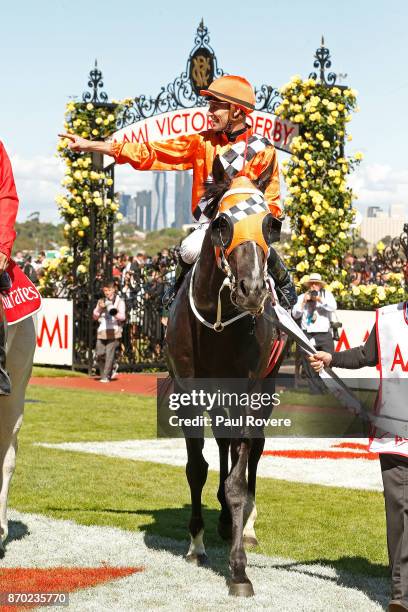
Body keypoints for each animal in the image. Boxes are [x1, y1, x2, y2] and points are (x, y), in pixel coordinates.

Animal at [164, 164, 286, 596]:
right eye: (221, 222)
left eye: (271, 223)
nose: (252, 291)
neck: (216, 327)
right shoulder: (186, 394)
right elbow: (196, 468)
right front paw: (196, 544)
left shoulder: (248, 394)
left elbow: (237, 480)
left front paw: (239, 570)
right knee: (223, 444)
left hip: (266, 389)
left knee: (253, 451)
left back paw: (245, 524)